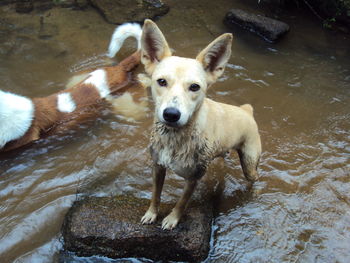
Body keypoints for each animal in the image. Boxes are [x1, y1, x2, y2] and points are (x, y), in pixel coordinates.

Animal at [140, 20, 262, 230]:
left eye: (195, 87)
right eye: (161, 81)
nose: (171, 114)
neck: (175, 139)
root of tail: (247, 111)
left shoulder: (193, 178)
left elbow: (181, 203)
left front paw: (172, 219)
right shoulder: (157, 167)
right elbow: (155, 195)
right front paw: (151, 214)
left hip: (249, 163)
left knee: (255, 178)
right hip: (220, 153)